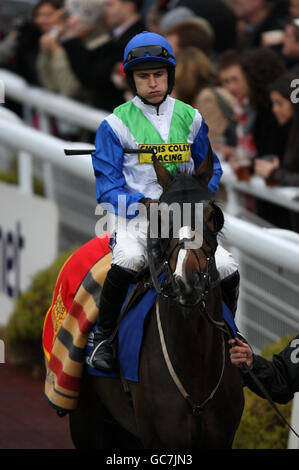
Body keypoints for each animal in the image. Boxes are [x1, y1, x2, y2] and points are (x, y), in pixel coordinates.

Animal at [70, 150, 246, 448]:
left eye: (212, 215)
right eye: (162, 218)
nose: (187, 282)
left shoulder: (223, 437)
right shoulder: (157, 439)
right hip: (84, 417)